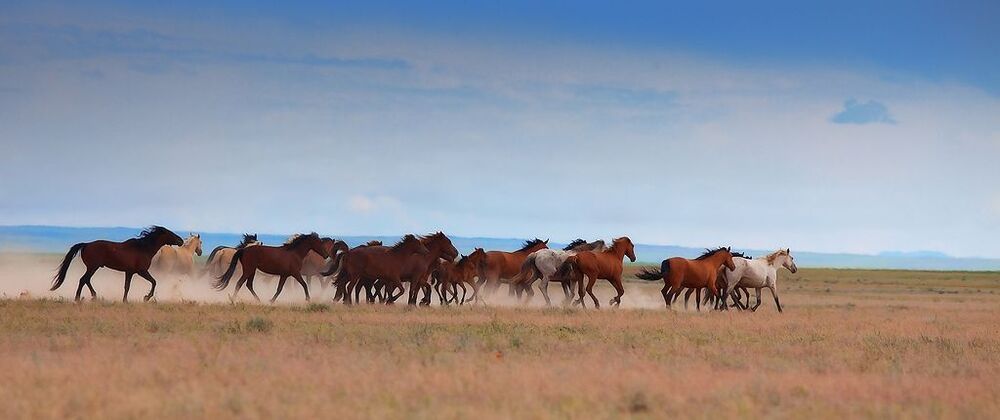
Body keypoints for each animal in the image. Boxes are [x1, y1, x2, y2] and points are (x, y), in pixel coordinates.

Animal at [51, 226, 184, 302]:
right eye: (170, 233)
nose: (181, 241)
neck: (143, 249)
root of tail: (86, 244)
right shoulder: (141, 271)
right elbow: (154, 282)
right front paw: (146, 297)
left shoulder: (129, 272)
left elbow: (127, 286)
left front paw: (125, 301)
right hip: (92, 267)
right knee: (83, 280)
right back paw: (78, 298)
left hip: (93, 268)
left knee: (86, 280)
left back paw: (94, 296)